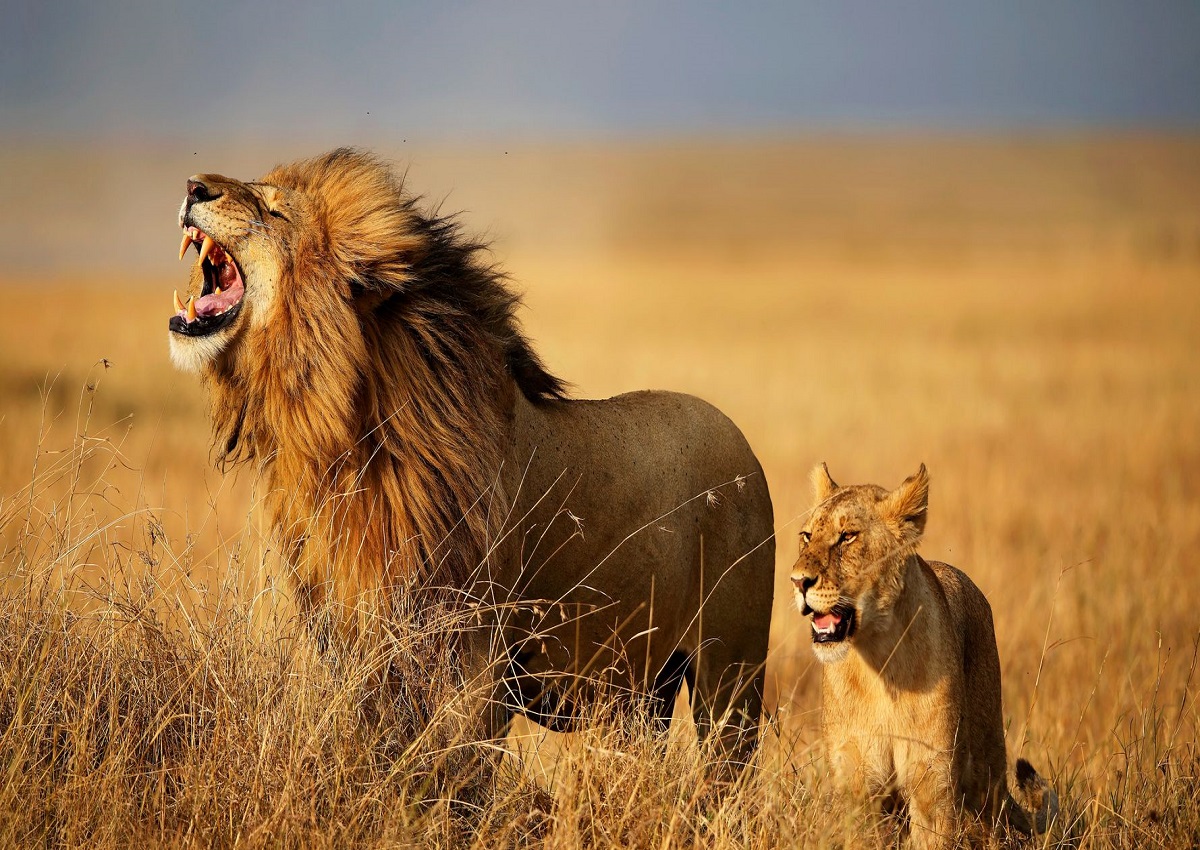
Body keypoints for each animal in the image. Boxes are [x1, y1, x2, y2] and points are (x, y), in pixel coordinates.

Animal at [167, 147, 775, 780]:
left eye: (275, 209)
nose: (192, 185)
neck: (344, 440)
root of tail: (745, 447)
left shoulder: (476, 656)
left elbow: (458, 773)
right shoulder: (352, 636)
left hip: (731, 676)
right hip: (644, 689)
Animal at [790, 463, 1057, 847]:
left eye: (848, 537)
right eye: (807, 535)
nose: (798, 581)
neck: (879, 662)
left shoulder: (931, 779)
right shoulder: (857, 782)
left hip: (986, 768)